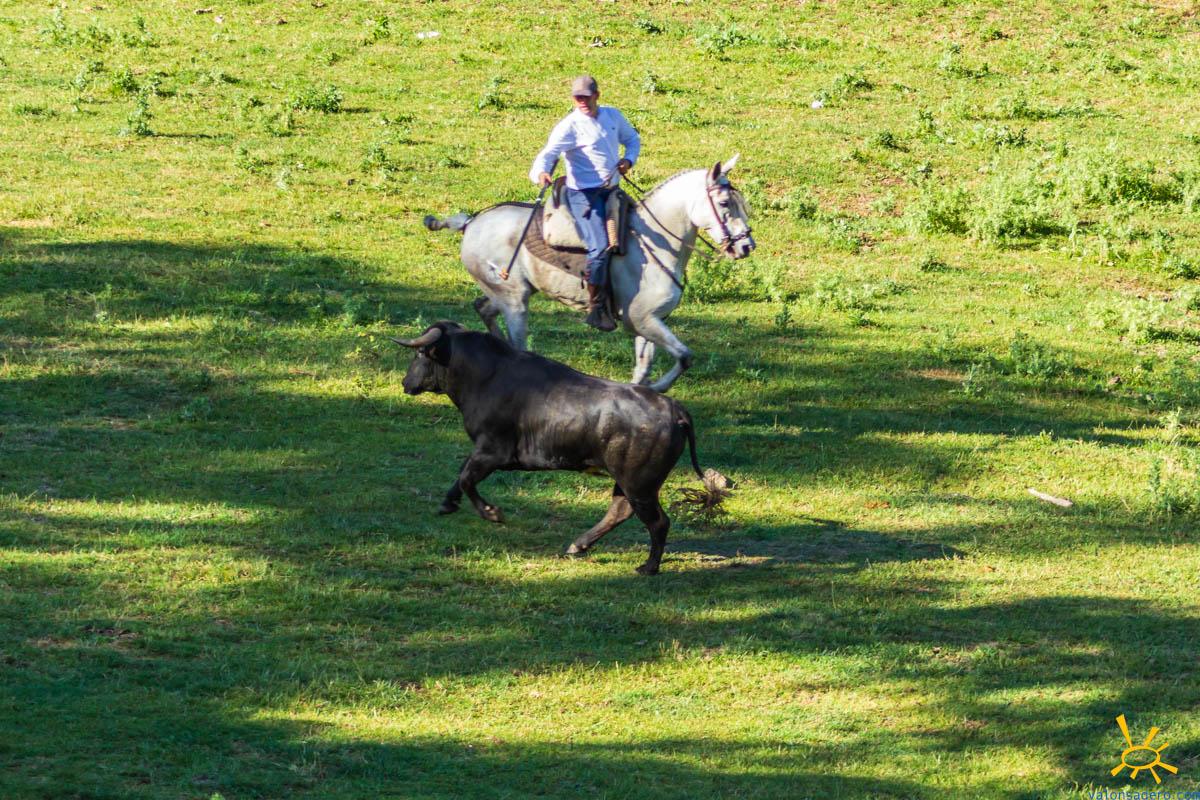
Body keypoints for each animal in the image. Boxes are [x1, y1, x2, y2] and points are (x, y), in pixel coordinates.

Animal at [394, 321, 725, 575]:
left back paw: (648, 567)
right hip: (628, 481)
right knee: (620, 510)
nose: (405, 382)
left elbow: (465, 477)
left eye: (421, 353)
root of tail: (675, 409)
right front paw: (447, 504)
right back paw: (578, 545)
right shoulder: (484, 453)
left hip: (639, 483)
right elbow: (462, 473)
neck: (486, 375)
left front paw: (492, 513)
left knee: (656, 521)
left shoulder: (493, 451)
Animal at [423, 155, 755, 392]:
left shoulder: (650, 320)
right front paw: (657, 389)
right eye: (724, 203)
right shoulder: (641, 319)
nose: (746, 246)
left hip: (508, 293)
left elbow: (644, 366)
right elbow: (684, 356)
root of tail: (471, 223)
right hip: (515, 301)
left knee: (483, 308)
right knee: (516, 343)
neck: (655, 245)